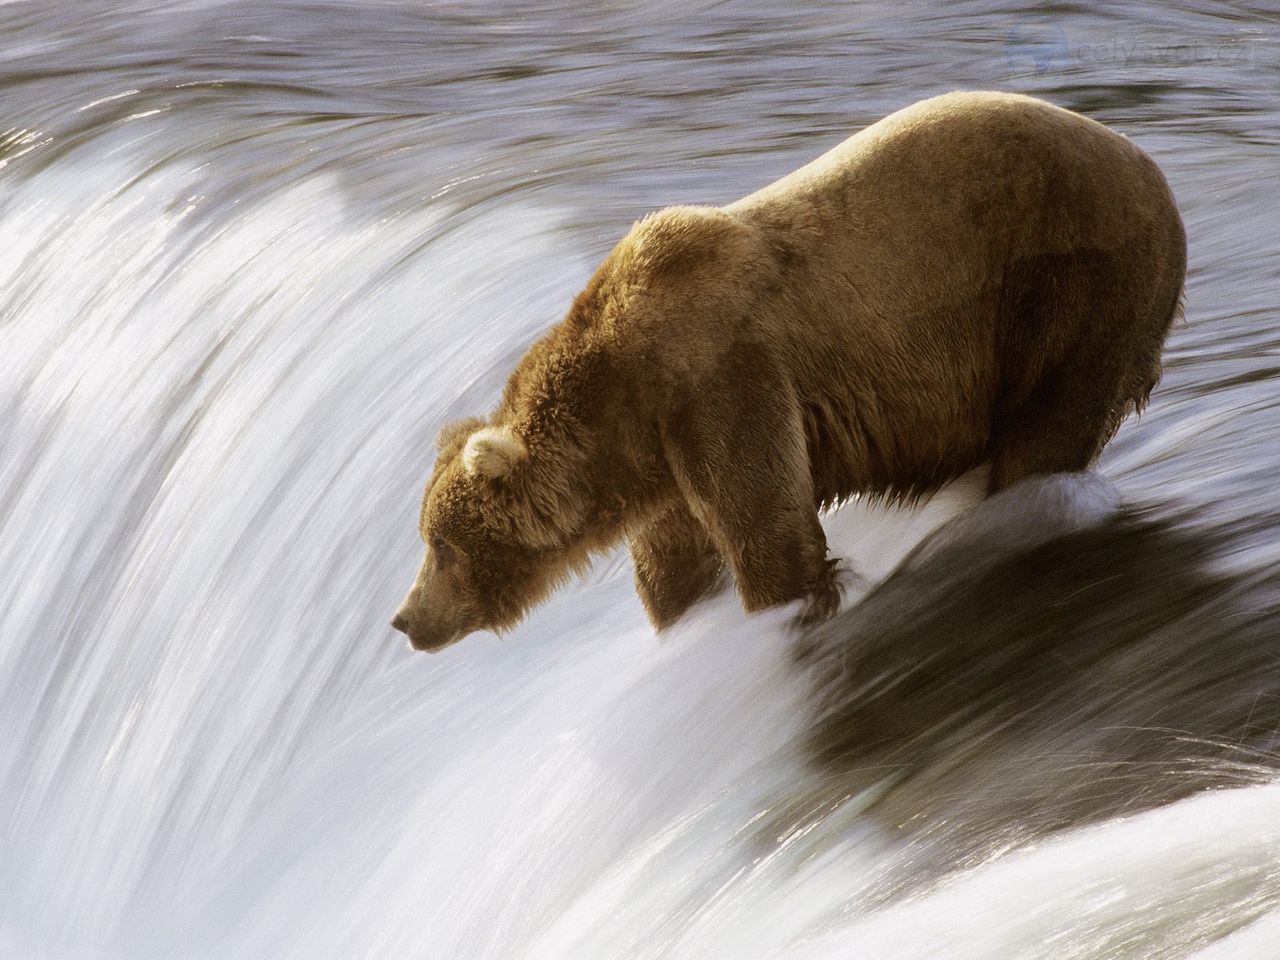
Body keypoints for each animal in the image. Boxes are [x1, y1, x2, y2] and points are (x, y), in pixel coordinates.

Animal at [391, 90, 1186, 652]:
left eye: (442, 545)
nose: (404, 618)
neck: (623, 402)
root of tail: (1151, 166)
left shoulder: (721, 379)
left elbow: (767, 531)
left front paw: (787, 612)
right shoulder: (665, 456)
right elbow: (675, 565)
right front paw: (687, 619)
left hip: (1070, 284)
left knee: (1046, 428)